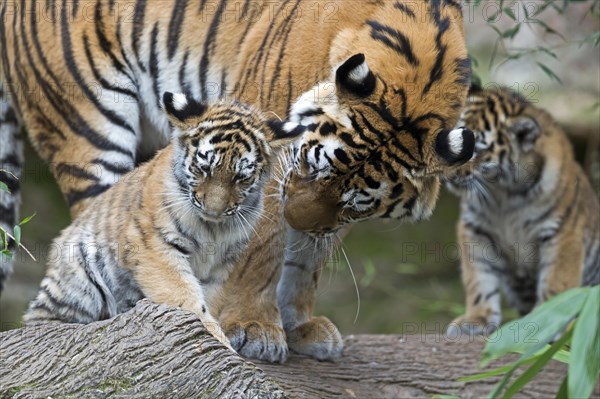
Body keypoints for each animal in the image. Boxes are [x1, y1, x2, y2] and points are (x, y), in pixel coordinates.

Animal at [1, 0, 474, 362]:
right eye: (314, 166)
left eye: (356, 201)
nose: (298, 221)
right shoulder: (271, 160)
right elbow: (262, 251)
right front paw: (254, 327)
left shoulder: (324, 217)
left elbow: (307, 261)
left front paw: (300, 325)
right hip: (87, 125)